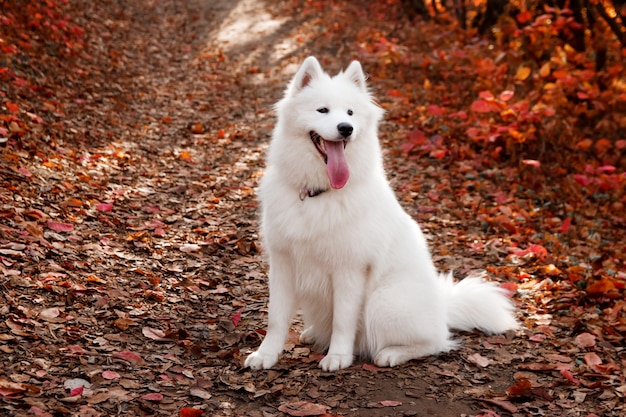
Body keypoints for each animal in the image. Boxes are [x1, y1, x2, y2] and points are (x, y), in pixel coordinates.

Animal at [241, 56, 516, 370]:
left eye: (350, 112)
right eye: (322, 110)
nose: (346, 128)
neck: (317, 194)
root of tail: (444, 308)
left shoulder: (349, 269)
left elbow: (343, 320)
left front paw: (338, 357)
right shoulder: (283, 262)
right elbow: (276, 317)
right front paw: (266, 355)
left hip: (383, 302)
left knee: (436, 342)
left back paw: (392, 354)